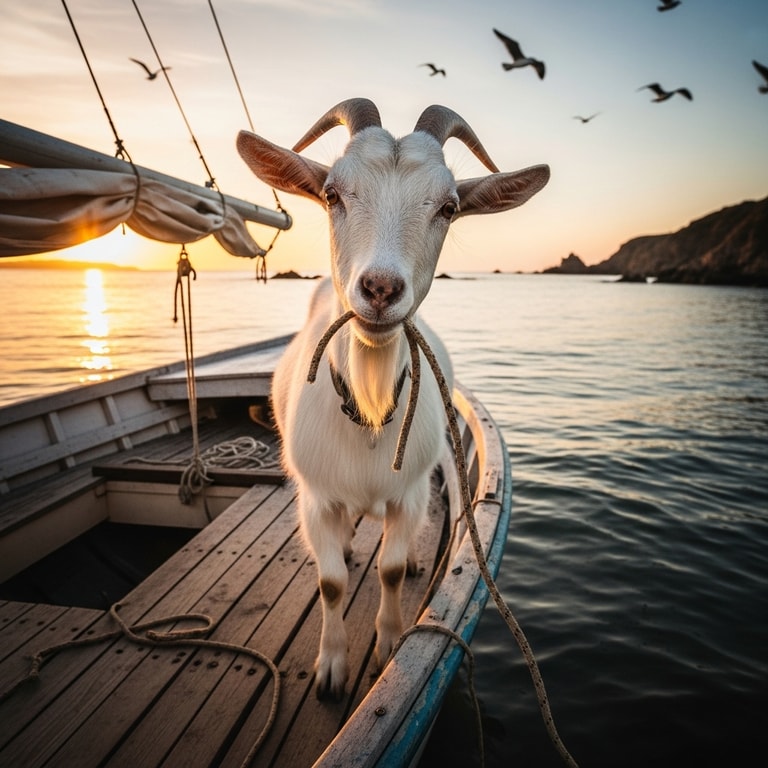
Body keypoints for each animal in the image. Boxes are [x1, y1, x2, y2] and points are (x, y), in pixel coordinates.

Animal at [237, 98, 549, 699]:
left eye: (449, 207)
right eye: (331, 193)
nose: (380, 289)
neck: (370, 410)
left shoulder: (411, 494)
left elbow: (392, 570)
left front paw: (387, 646)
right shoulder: (316, 498)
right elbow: (332, 582)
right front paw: (331, 667)